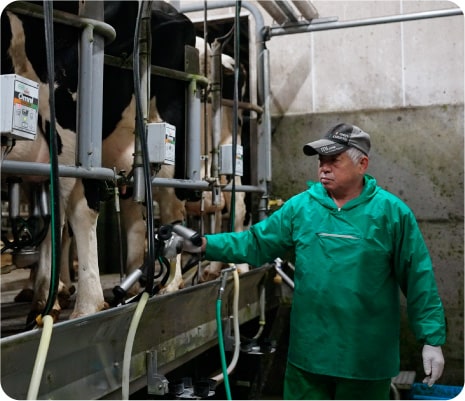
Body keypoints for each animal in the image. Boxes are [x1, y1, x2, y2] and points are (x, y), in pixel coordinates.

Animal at [0, 0, 196, 318]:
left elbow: (70, 213)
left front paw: (83, 303)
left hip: (163, 144)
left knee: (169, 208)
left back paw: (168, 283)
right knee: (132, 216)